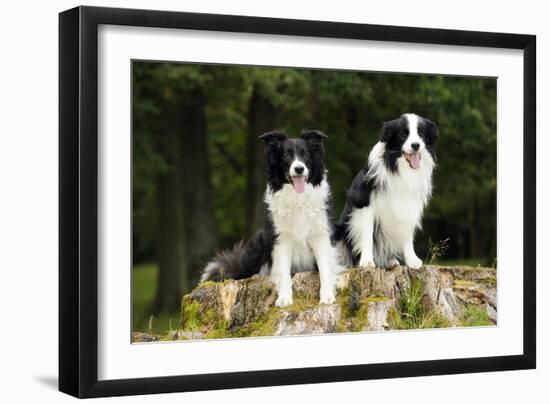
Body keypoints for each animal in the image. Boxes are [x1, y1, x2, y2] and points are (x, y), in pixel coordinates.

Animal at [203, 129, 340, 306]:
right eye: (286, 156)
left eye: (306, 155)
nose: (299, 169)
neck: (297, 197)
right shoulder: (281, 239)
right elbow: (283, 271)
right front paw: (284, 298)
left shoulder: (320, 235)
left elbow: (325, 268)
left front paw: (327, 295)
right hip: (259, 247)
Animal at [336, 113, 440, 270]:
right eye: (403, 135)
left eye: (421, 134)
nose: (416, 145)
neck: (398, 167)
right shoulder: (364, 204)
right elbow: (367, 235)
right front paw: (367, 261)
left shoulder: (409, 205)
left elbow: (407, 234)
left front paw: (412, 260)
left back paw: (390, 261)